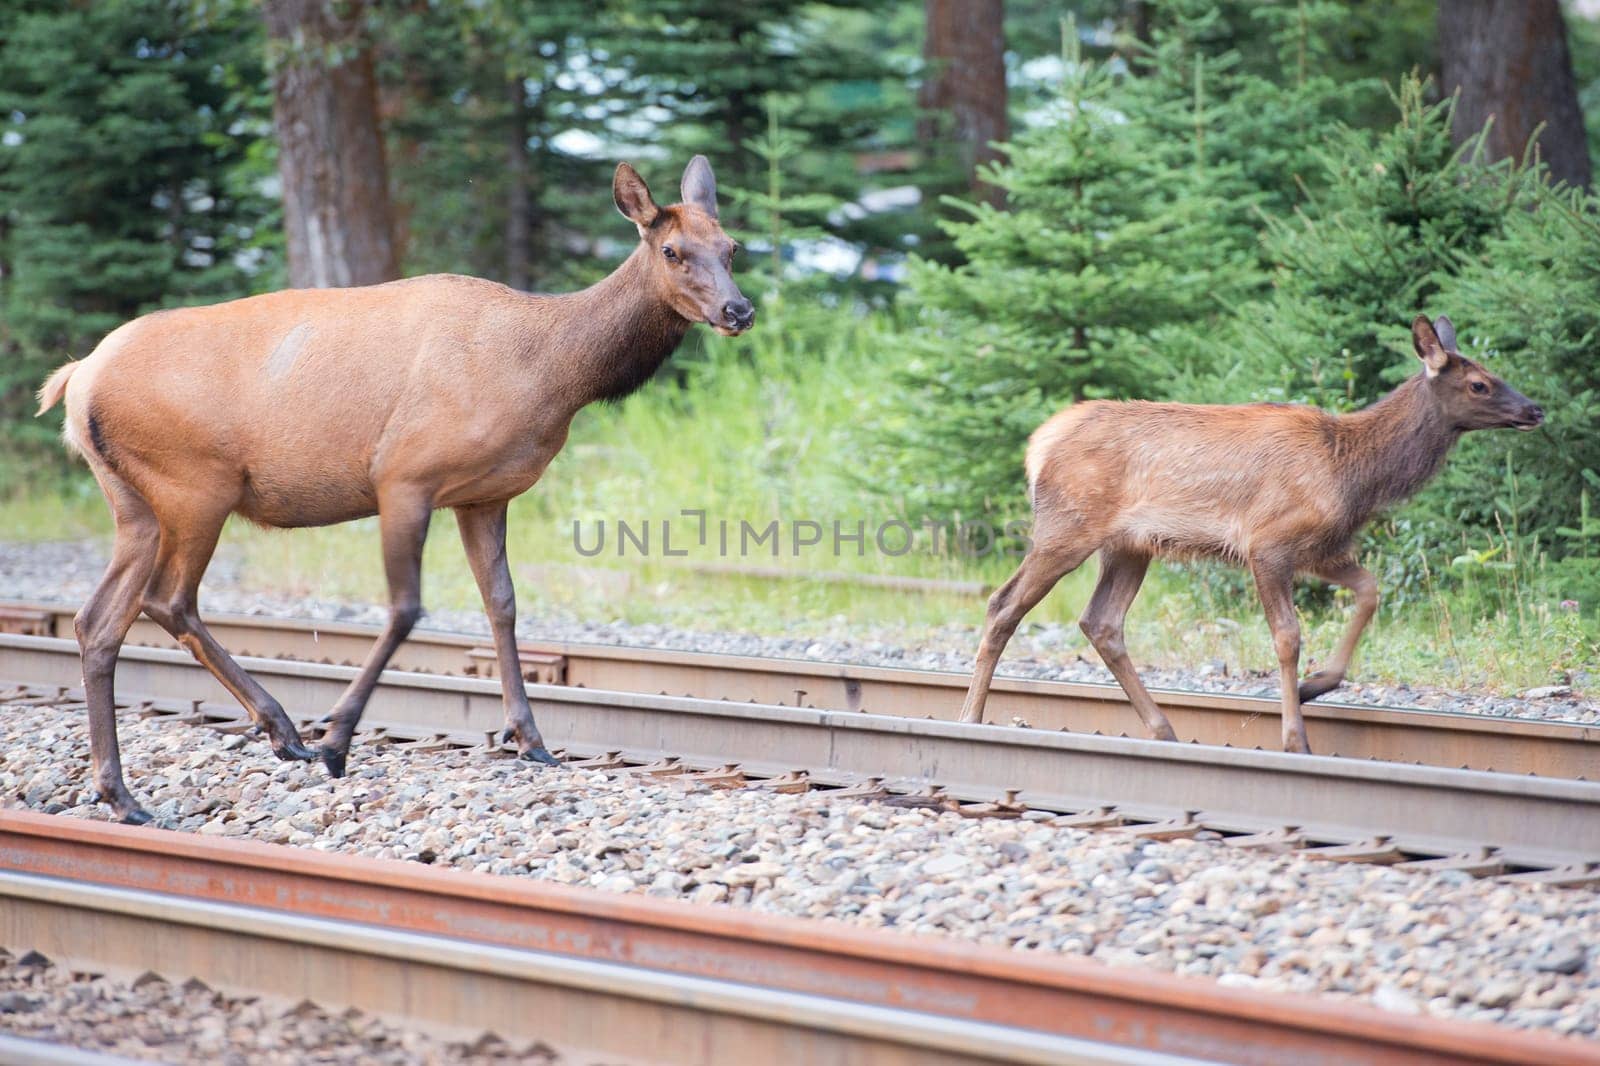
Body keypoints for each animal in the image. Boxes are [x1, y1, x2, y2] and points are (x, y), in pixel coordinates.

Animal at [40, 156, 752, 819]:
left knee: (99, 620)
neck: (554, 374)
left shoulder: (485, 494)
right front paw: (338, 739)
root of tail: (75, 381)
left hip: (137, 505)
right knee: (168, 600)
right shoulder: (404, 474)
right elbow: (407, 607)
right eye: (671, 250)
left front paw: (531, 739)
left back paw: (126, 789)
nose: (738, 310)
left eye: (732, 246)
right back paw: (279, 735)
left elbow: (502, 604)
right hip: (196, 487)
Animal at [953, 320, 1542, 752]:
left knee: (1101, 622)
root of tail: (1038, 446)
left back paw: (1164, 729)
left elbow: (1370, 590)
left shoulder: (1323, 548)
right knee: (1003, 604)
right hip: (1066, 529)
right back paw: (970, 718)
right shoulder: (1269, 544)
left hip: (1129, 546)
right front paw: (1295, 737)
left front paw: (1315, 685)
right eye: (1479, 383)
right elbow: (1287, 636)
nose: (1535, 409)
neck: (1355, 473)